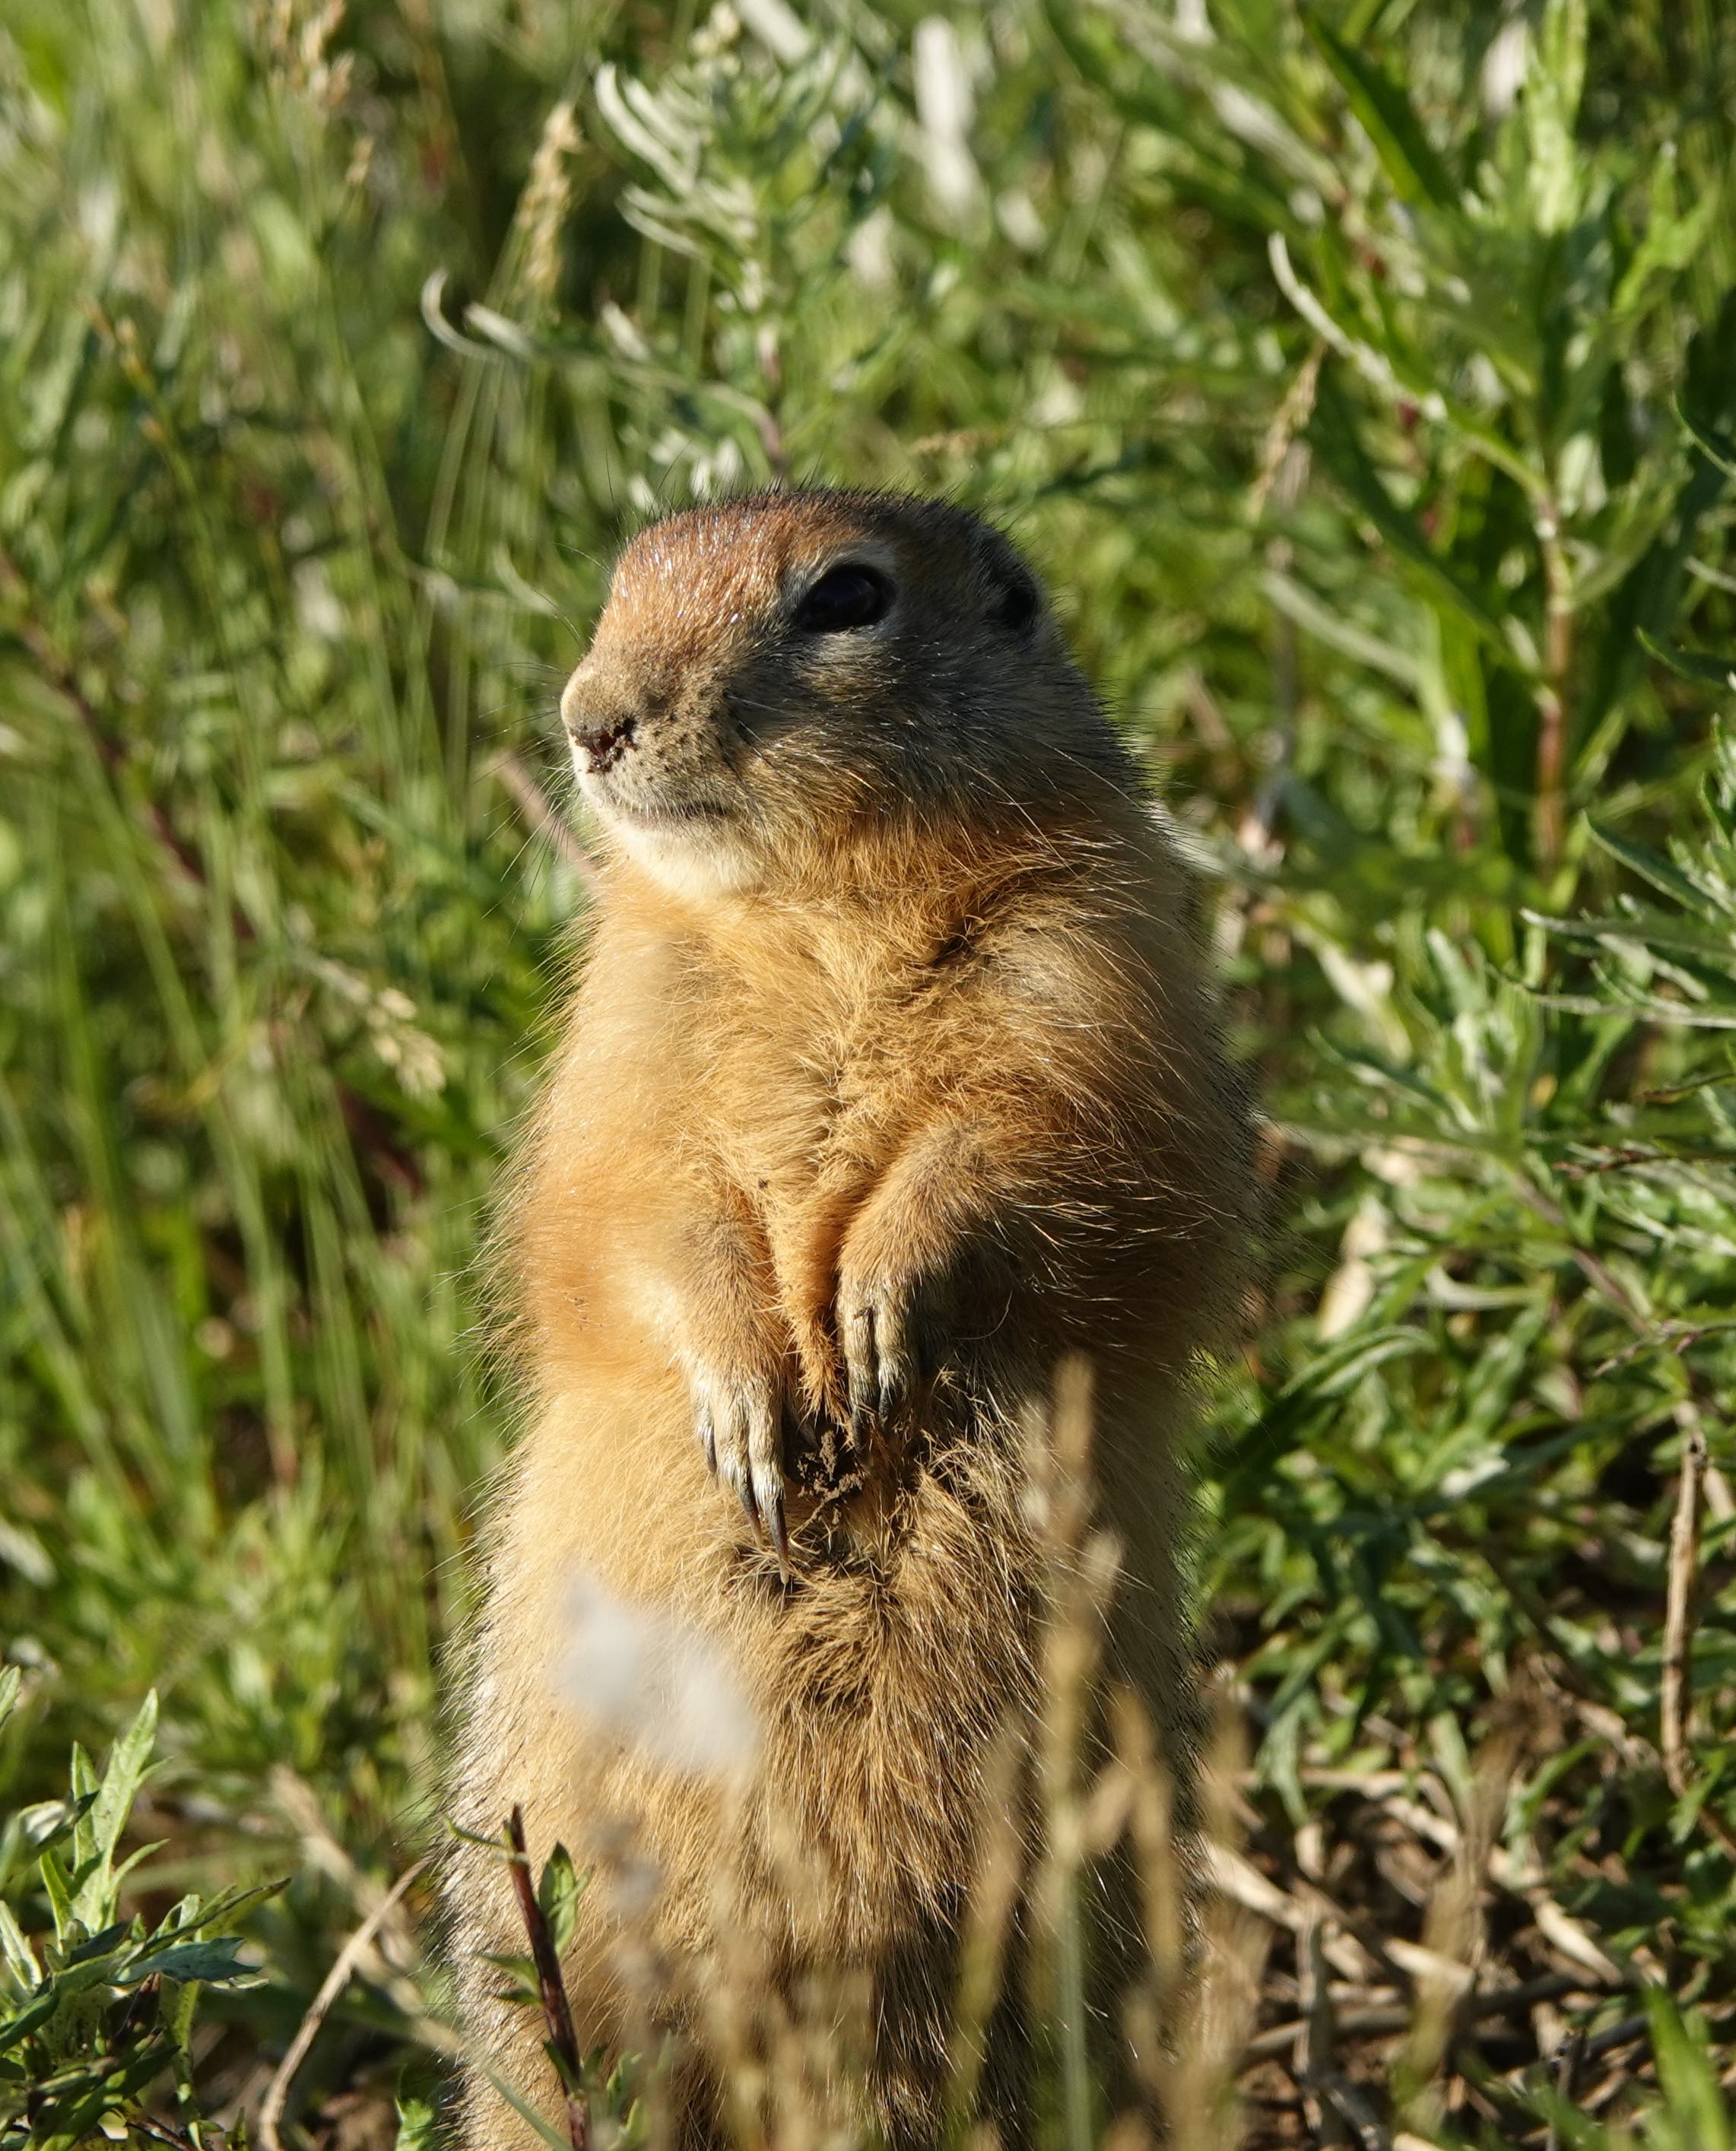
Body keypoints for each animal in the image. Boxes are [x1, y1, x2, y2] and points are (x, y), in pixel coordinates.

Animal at [445, 487, 1251, 2149]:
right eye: (621, 577)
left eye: (844, 596)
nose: (590, 716)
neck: (818, 905)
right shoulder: (625, 1036)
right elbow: (636, 1207)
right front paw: (757, 1397)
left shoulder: (1085, 964)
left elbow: (1015, 1149)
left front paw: (872, 1320)